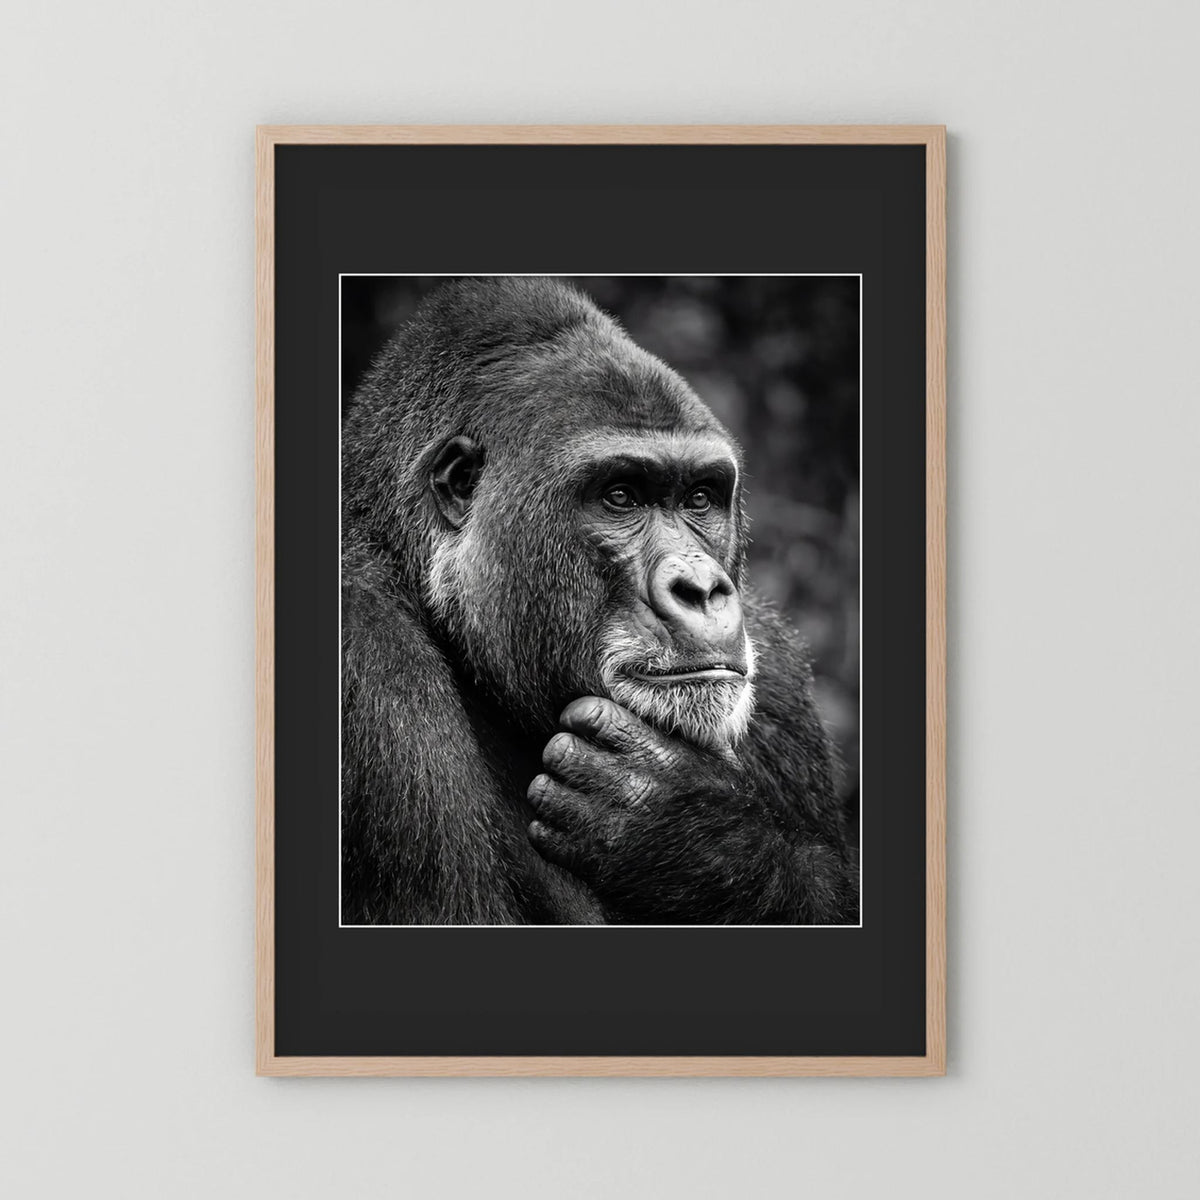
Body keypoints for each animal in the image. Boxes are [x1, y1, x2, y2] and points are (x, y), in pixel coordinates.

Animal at [340, 276, 858, 925]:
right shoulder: (366, 659)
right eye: (620, 496)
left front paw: (694, 832)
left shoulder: (780, 675)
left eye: (700, 497)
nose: (702, 590)